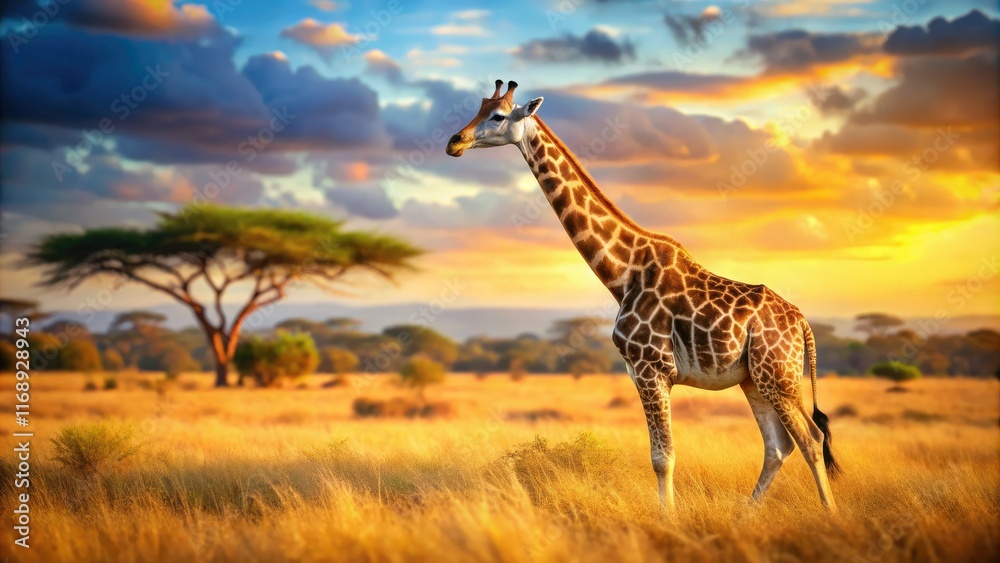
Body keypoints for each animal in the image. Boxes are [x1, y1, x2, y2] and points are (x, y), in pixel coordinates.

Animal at [446, 80, 840, 511]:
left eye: (498, 116)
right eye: (478, 109)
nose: (454, 142)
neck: (623, 273)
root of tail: (801, 323)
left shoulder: (653, 368)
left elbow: (662, 457)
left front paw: (668, 518)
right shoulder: (638, 370)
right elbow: (660, 455)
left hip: (778, 377)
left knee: (811, 439)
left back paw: (829, 515)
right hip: (754, 379)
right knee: (778, 447)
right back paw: (745, 515)